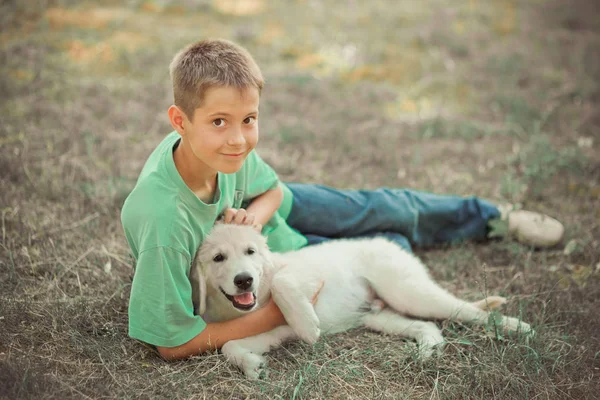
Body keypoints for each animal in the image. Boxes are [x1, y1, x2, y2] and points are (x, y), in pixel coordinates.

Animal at [191, 225, 528, 378]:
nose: (244, 280)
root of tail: (388, 243)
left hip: (408, 292)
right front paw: (252, 366)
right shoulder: (272, 330)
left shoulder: (307, 277)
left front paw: (307, 325)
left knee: (468, 311)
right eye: (218, 258)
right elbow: (228, 345)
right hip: (380, 315)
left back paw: (518, 327)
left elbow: (282, 282)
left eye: (250, 252)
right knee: (428, 326)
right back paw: (426, 352)